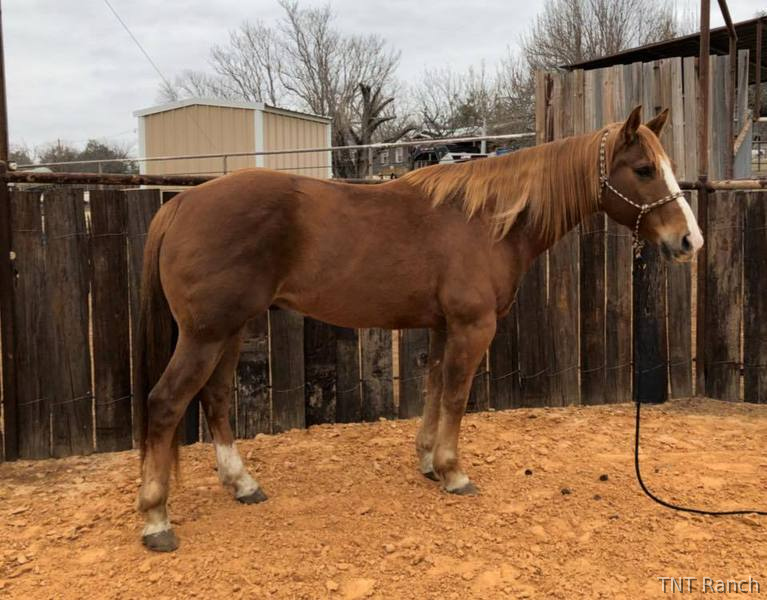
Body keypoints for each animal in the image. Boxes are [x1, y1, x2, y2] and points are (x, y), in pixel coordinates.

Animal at [134, 105, 703, 551]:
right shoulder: (473, 326)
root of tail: (181, 203)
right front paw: (453, 472)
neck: (487, 221)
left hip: (228, 332)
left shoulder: (442, 326)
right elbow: (455, 395)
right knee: (165, 404)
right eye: (644, 169)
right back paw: (156, 518)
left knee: (215, 399)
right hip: (206, 335)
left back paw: (242, 484)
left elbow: (432, 390)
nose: (688, 240)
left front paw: (429, 461)